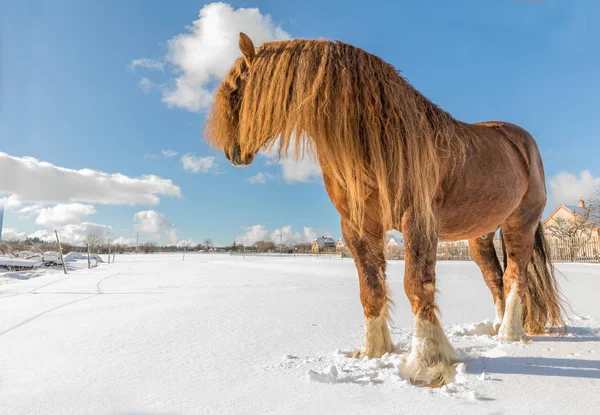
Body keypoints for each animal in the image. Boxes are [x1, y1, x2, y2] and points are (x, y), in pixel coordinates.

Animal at [204, 34, 564, 388]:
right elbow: (371, 289)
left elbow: (417, 285)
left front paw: (428, 365)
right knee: (495, 278)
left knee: (515, 276)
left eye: (236, 90)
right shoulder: (357, 227)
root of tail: (522, 142)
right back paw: (496, 329)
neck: (374, 138)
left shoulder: (418, 220)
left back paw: (509, 335)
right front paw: (373, 352)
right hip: (481, 234)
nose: (232, 153)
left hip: (520, 223)